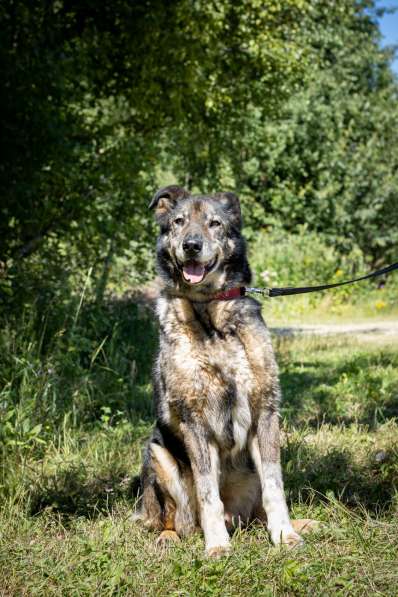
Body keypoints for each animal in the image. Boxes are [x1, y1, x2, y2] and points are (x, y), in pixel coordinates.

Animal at [135, 185, 310, 556]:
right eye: (178, 222)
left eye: (214, 223)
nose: (191, 245)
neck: (212, 314)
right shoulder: (195, 421)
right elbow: (207, 494)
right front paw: (216, 545)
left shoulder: (266, 413)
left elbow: (275, 487)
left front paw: (285, 534)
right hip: (158, 455)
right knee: (176, 519)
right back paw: (170, 536)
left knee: (258, 511)